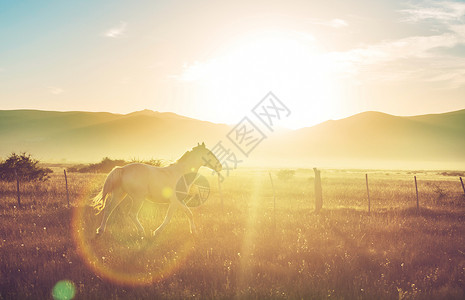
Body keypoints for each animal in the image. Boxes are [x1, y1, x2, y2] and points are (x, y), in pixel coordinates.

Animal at [91, 142, 222, 238]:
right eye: (209, 153)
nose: (220, 166)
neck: (181, 174)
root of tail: (122, 169)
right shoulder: (175, 202)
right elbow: (169, 217)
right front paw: (156, 232)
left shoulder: (180, 201)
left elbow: (189, 213)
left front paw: (194, 231)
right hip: (138, 198)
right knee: (132, 214)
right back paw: (141, 231)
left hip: (119, 195)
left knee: (108, 209)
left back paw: (100, 231)